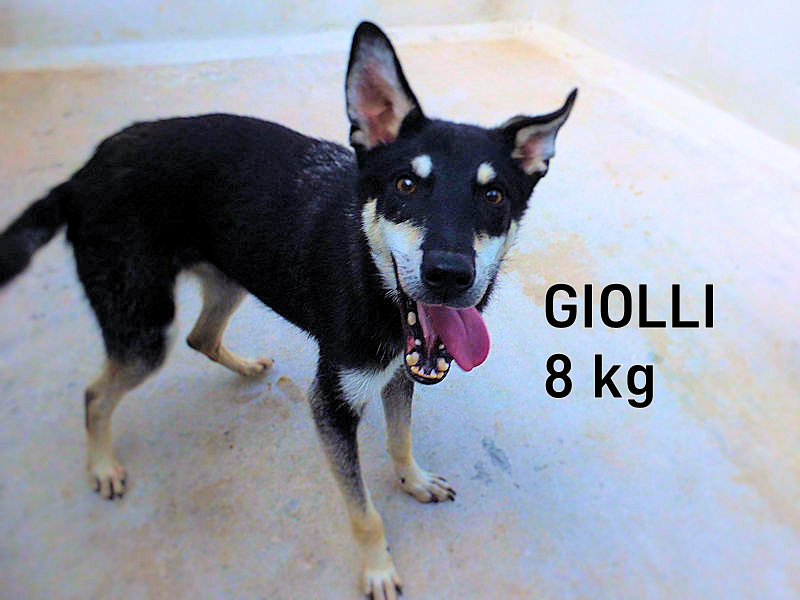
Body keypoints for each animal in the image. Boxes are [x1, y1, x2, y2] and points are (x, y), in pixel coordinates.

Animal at [0, 22, 575, 599]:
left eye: (494, 196)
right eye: (406, 185)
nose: (451, 276)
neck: (370, 274)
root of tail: (80, 175)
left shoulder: (398, 375)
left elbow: (401, 438)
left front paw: (413, 480)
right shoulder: (332, 406)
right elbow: (365, 513)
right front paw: (377, 569)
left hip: (230, 278)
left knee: (201, 337)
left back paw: (244, 367)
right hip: (143, 330)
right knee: (96, 393)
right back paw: (102, 465)